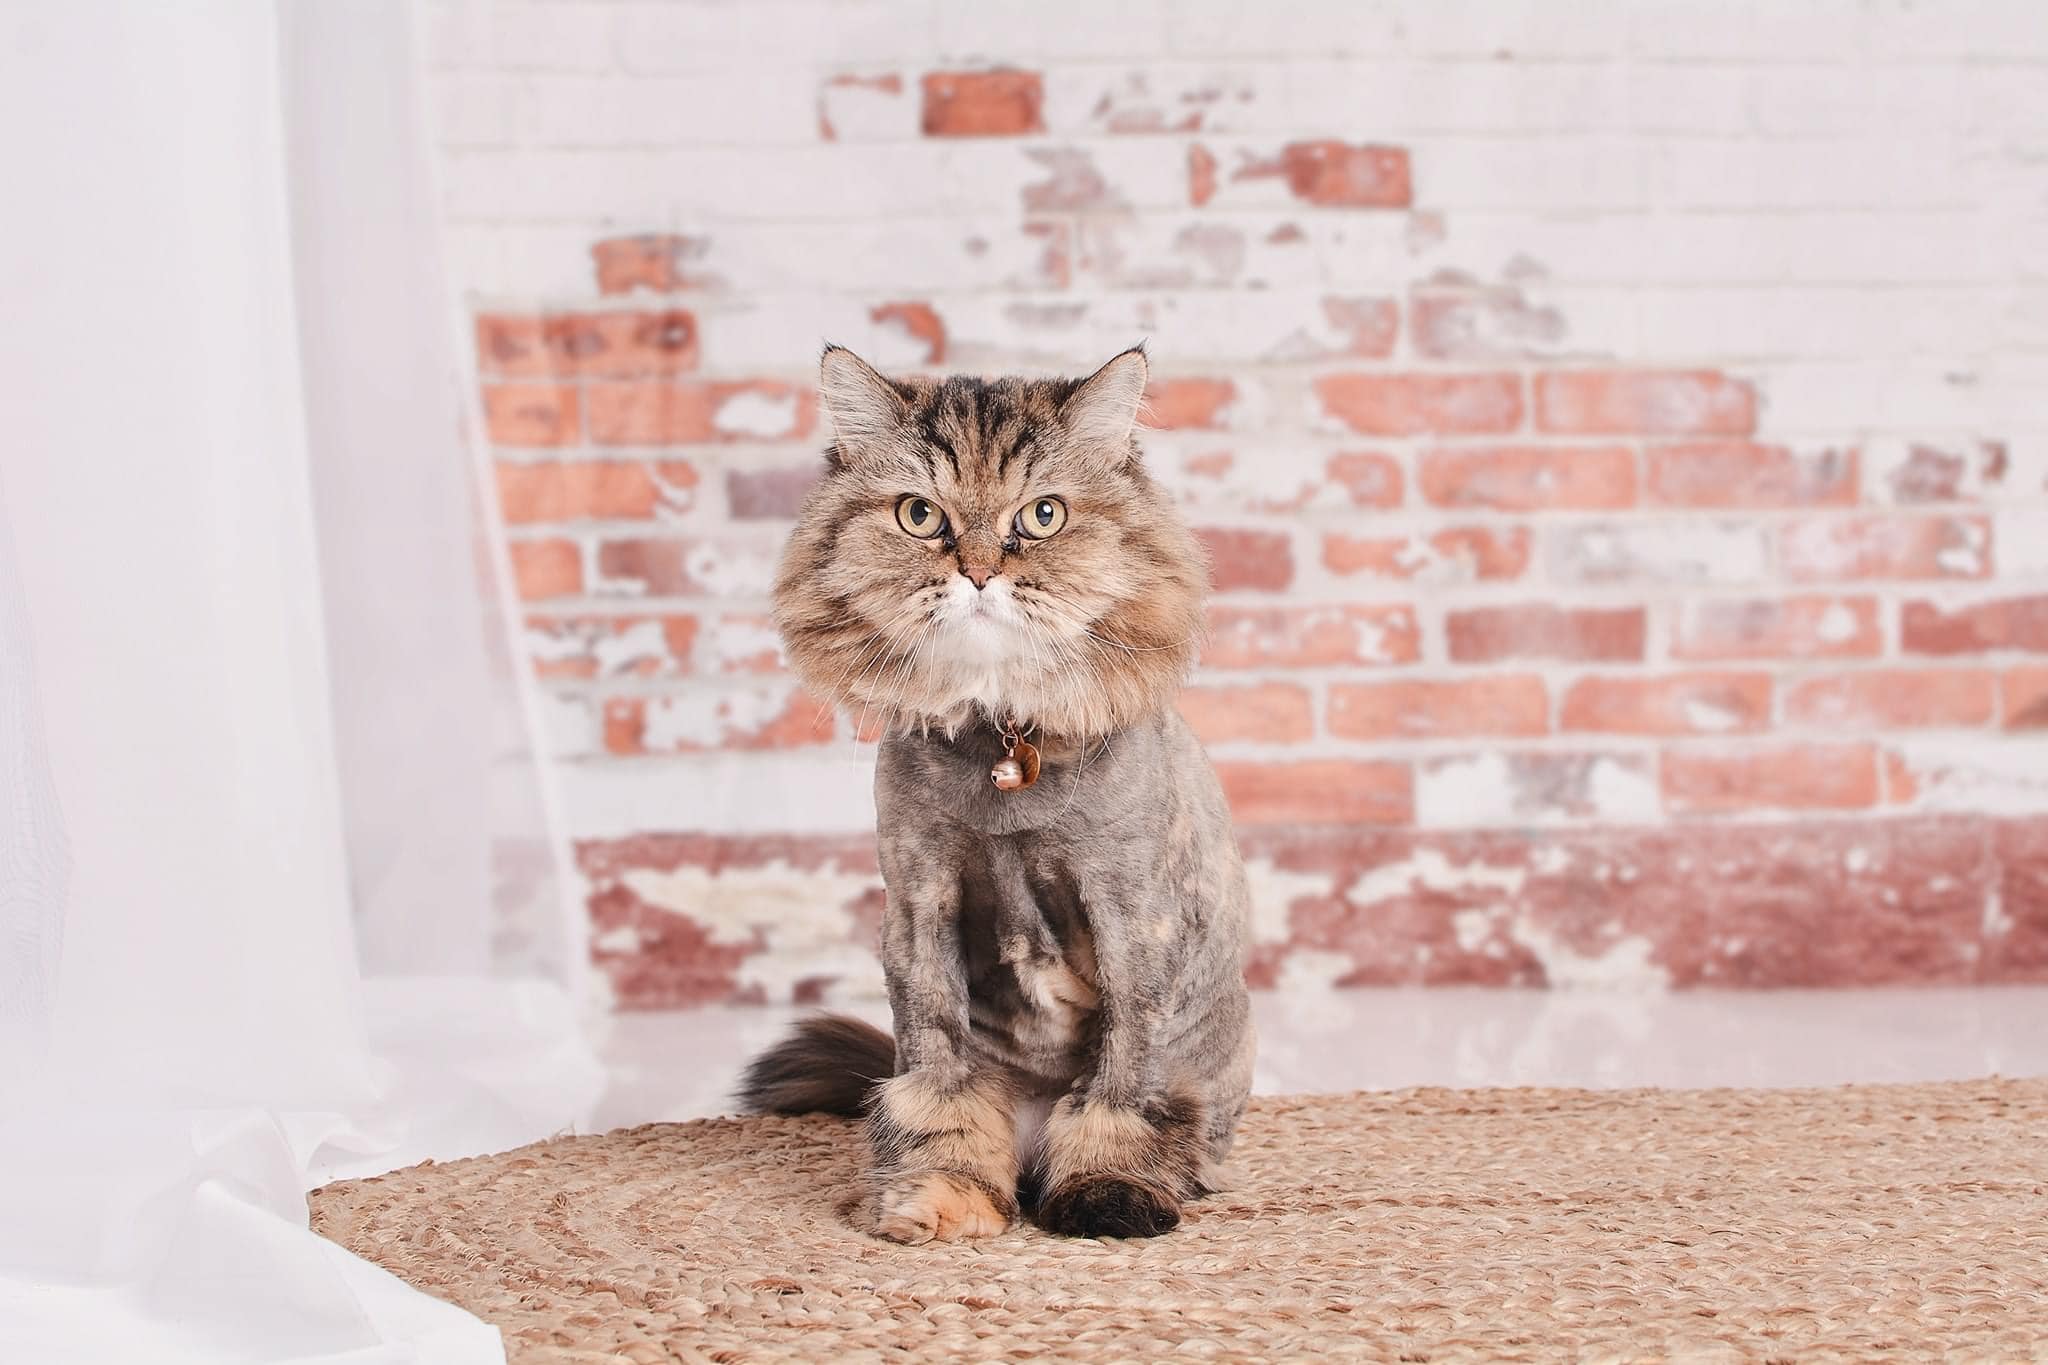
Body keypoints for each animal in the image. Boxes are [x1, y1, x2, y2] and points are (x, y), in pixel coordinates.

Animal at [737, 347, 1245, 1244]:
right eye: (919, 515)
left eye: (1042, 515)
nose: (977, 571)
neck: (1002, 737)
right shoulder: (922, 899)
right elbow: (938, 1081)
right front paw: (943, 1197)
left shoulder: (1130, 911)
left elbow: (1123, 1082)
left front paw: (1110, 1190)